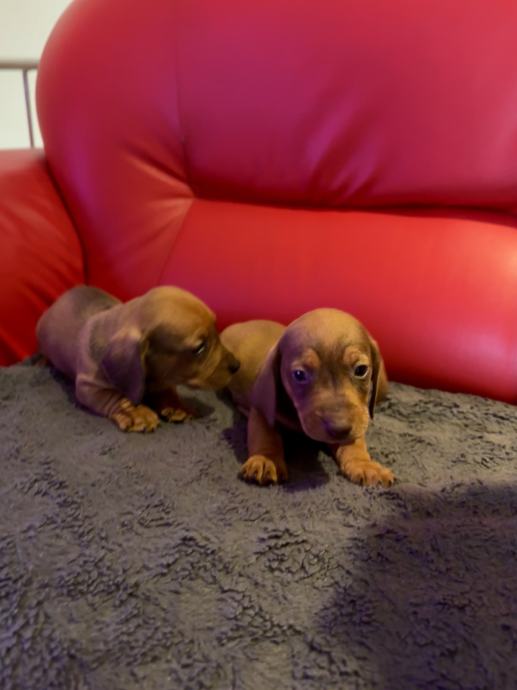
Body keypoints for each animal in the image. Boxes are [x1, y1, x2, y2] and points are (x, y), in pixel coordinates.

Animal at [37, 285, 240, 431]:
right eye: (199, 348)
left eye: (216, 327)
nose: (237, 366)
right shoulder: (88, 386)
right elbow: (116, 396)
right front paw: (136, 413)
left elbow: (166, 388)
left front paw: (176, 405)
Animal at [221, 308, 394, 487]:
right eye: (299, 374)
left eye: (361, 370)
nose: (339, 428)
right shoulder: (261, 408)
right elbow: (265, 434)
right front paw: (266, 458)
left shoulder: (356, 418)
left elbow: (355, 442)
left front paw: (364, 464)